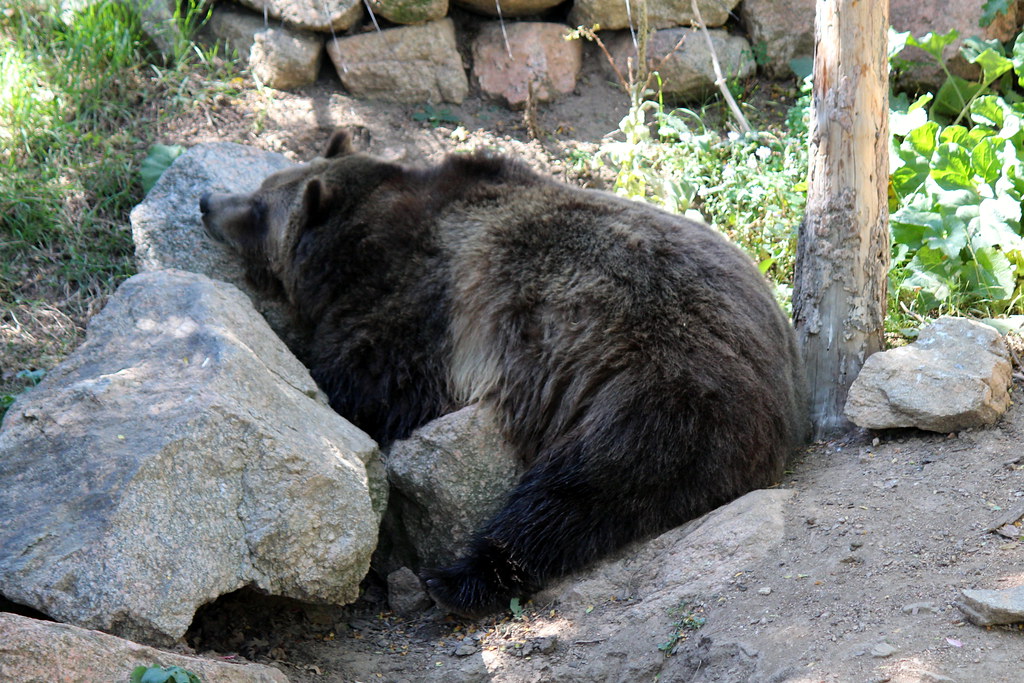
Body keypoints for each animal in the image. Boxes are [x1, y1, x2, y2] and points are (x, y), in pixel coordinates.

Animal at [200, 129, 809, 618]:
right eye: (260, 186)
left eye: (257, 207)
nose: (207, 201)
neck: (357, 239)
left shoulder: (426, 302)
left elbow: (368, 381)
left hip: (657, 386)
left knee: (582, 487)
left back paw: (459, 580)